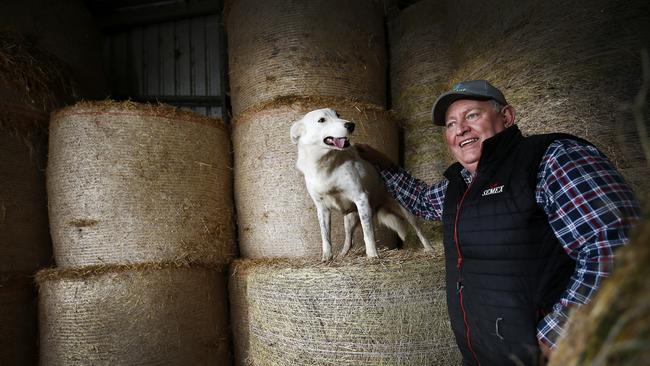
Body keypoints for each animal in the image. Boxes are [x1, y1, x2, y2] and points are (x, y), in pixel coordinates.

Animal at [288, 108, 430, 260]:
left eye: (338, 115)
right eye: (321, 120)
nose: (351, 125)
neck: (326, 165)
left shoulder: (361, 199)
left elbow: (368, 233)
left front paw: (372, 255)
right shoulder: (322, 208)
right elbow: (325, 237)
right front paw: (326, 258)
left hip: (405, 209)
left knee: (420, 231)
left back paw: (430, 249)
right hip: (350, 218)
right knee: (349, 240)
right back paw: (343, 254)